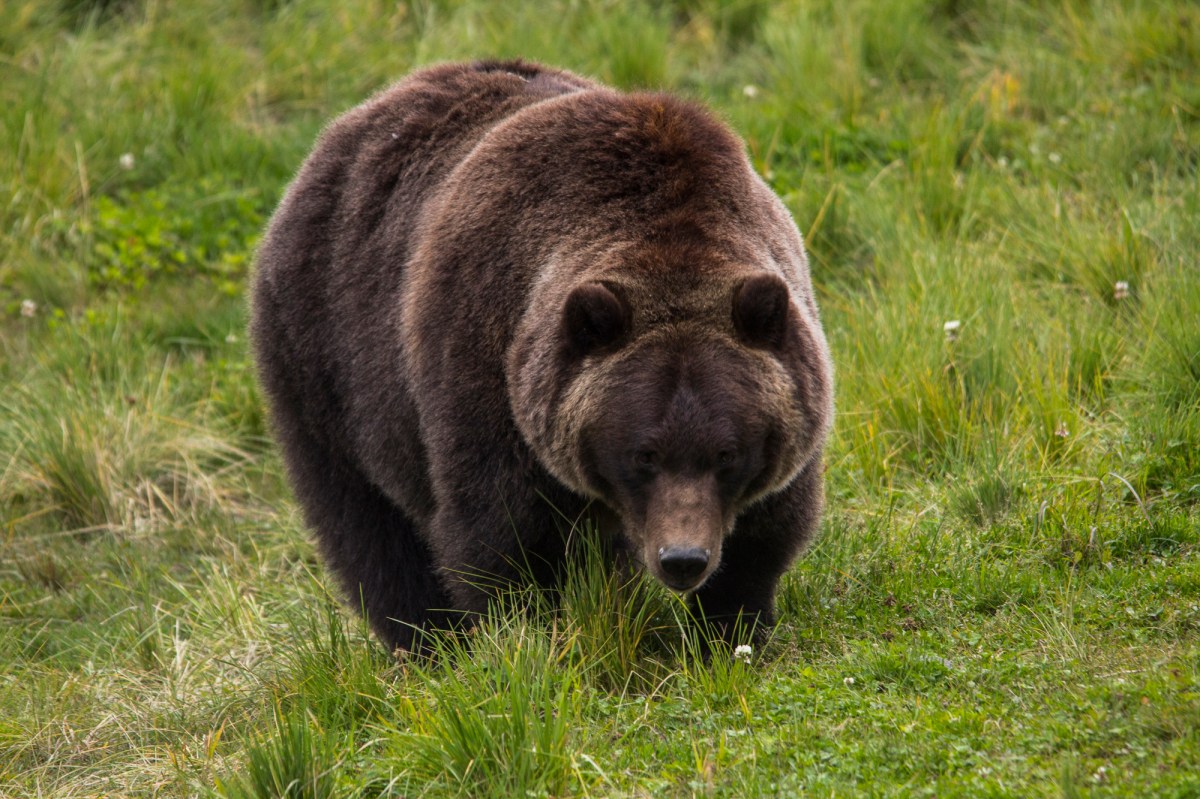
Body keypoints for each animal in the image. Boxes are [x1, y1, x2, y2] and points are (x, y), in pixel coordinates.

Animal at [249, 59, 834, 653]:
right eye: (643, 454)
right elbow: (502, 539)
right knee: (369, 525)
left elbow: (765, 533)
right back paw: (427, 643)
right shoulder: (486, 362)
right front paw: (529, 636)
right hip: (329, 357)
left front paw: (729, 632)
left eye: (726, 453)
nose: (682, 559)